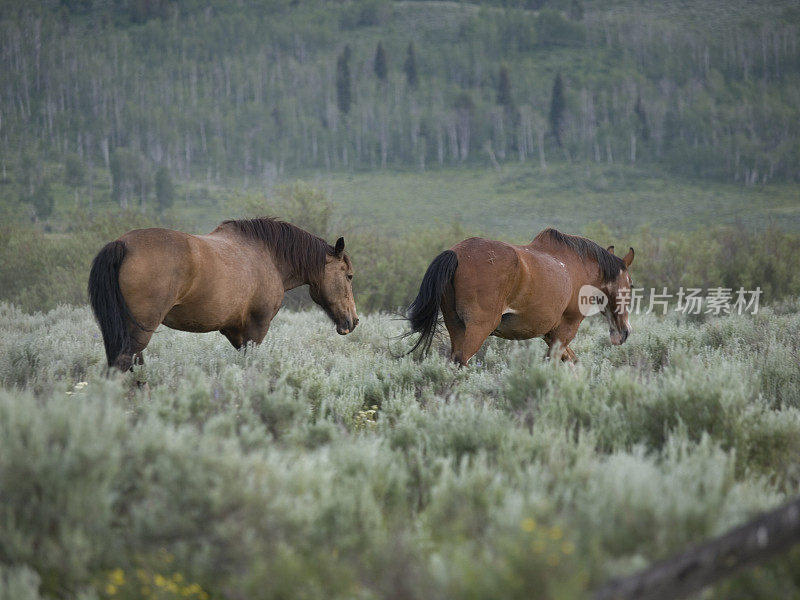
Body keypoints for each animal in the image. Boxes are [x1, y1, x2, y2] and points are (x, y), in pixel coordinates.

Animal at [88, 218, 360, 370]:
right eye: (349, 276)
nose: (353, 321)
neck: (268, 255)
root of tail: (122, 245)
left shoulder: (234, 331)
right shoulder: (256, 329)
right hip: (139, 331)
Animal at [410, 227, 636, 364]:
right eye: (631, 285)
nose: (624, 332)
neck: (577, 267)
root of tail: (456, 253)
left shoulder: (550, 334)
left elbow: (572, 361)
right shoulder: (566, 330)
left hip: (456, 326)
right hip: (478, 329)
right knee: (462, 360)